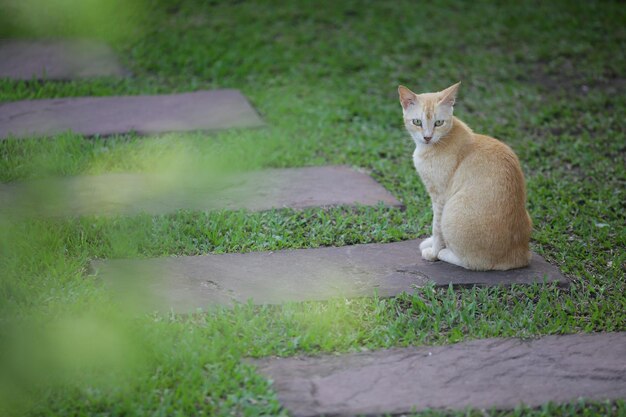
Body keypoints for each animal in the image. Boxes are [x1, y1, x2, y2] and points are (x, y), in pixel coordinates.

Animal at [398, 82, 528, 270]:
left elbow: (436, 228)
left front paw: (434, 252)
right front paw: (431, 243)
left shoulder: (440, 198)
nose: (427, 137)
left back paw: (445, 253)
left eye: (438, 123)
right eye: (417, 122)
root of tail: (521, 257)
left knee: (475, 263)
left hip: (451, 211)